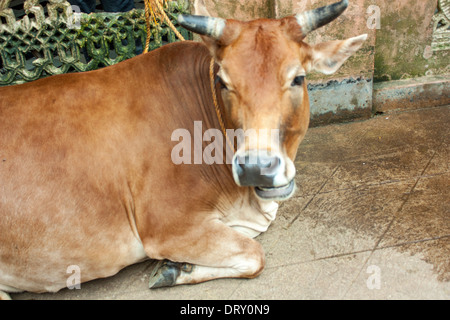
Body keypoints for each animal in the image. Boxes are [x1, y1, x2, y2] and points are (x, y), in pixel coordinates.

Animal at [0, 0, 366, 298]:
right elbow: (254, 255)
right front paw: (172, 269)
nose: (256, 168)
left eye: (298, 78)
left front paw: (176, 268)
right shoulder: (167, 228)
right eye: (223, 82)